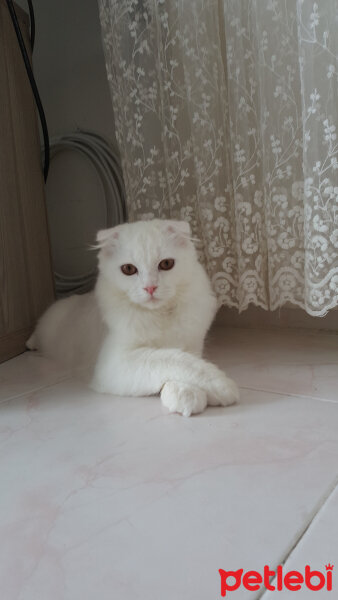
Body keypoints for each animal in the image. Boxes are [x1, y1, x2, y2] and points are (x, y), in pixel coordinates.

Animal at [27, 220, 239, 418]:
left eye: (166, 264)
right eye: (128, 269)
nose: (150, 288)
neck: (159, 316)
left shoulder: (192, 345)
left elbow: (184, 361)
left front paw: (186, 395)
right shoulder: (116, 363)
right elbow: (175, 360)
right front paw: (221, 386)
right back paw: (30, 344)